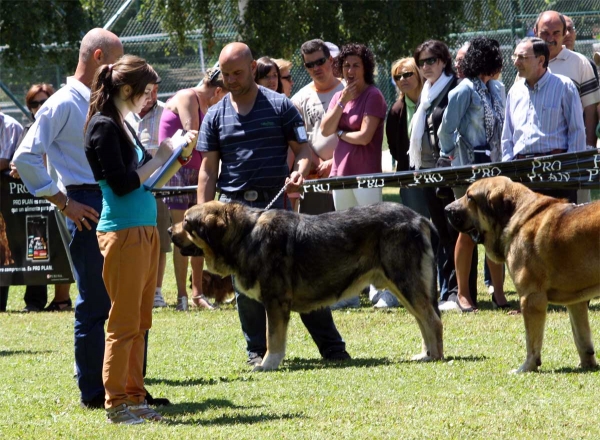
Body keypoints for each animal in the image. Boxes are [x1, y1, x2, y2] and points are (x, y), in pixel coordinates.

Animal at [171, 201, 442, 370]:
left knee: (433, 321)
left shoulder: (275, 302)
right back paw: (425, 354)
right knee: (423, 319)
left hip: (405, 280)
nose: (168, 229)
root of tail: (419, 218)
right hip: (403, 285)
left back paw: (435, 357)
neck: (245, 235)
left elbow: (273, 337)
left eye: (186, 222)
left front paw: (268, 364)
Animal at [446, 177, 600, 372]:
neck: (516, 217)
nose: (447, 209)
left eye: (470, 197)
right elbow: (581, 337)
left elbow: (531, 341)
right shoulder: (575, 301)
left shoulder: (531, 297)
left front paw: (527, 367)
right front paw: (587, 364)